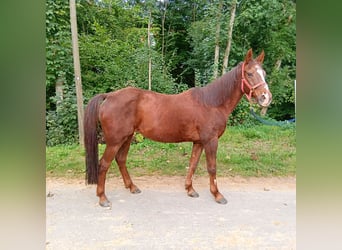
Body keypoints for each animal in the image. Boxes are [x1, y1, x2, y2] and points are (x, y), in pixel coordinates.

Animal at [84, 47, 272, 206]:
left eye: (264, 73)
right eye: (249, 73)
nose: (266, 98)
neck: (212, 103)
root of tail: (109, 96)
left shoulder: (199, 142)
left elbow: (193, 164)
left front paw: (190, 189)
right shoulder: (210, 141)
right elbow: (212, 168)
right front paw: (218, 195)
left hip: (127, 137)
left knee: (121, 159)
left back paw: (132, 187)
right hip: (115, 141)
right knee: (104, 164)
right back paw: (102, 198)